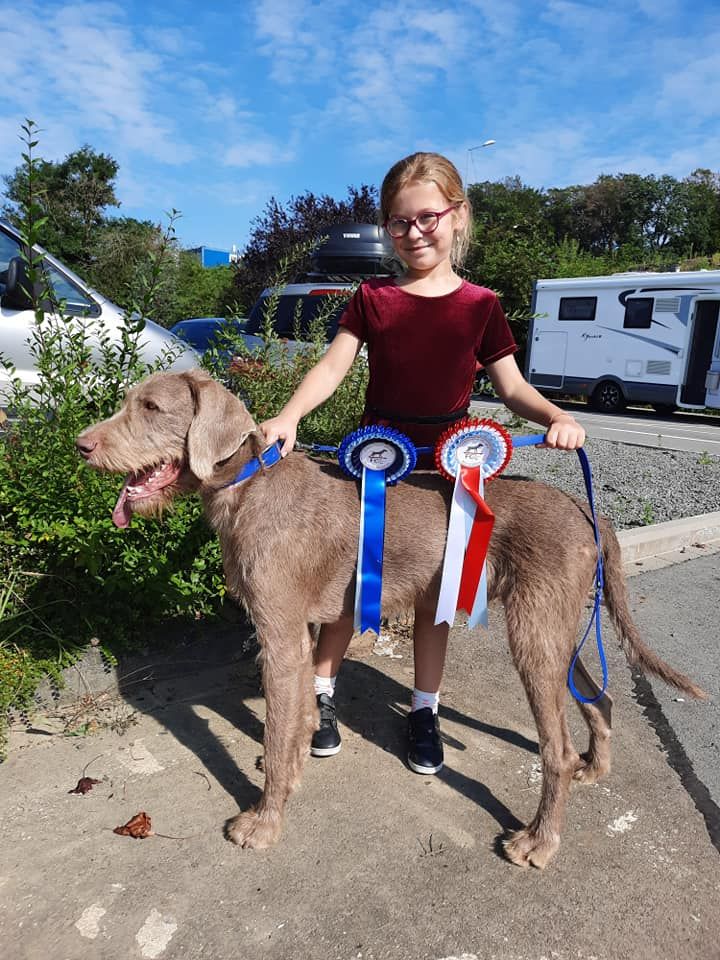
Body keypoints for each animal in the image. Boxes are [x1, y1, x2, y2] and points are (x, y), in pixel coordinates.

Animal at [76, 368, 704, 872]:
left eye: (152, 407)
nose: (82, 444)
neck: (251, 484)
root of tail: (588, 513)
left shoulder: (278, 635)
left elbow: (277, 732)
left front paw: (264, 821)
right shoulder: (299, 635)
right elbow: (298, 714)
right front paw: (298, 763)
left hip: (534, 634)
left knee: (557, 748)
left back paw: (539, 840)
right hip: (558, 633)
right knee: (600, 697)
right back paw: (595, 768)